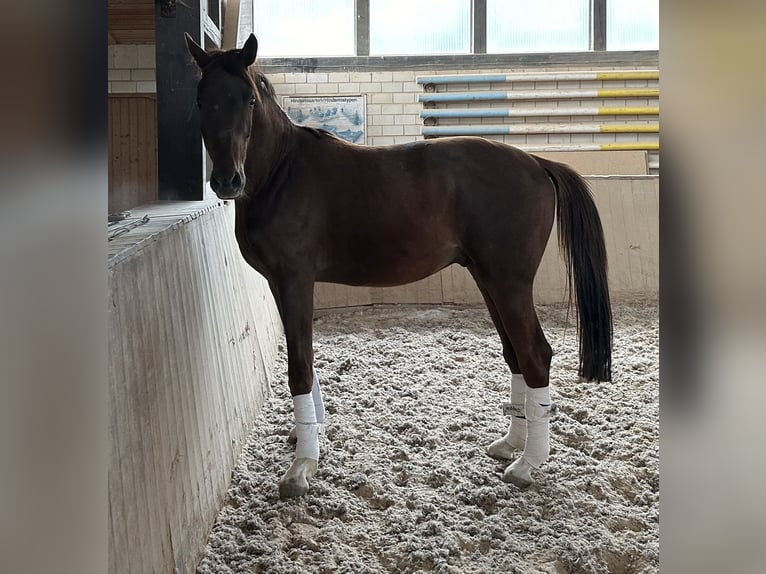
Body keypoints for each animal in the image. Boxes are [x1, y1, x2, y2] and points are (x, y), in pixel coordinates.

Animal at [188, 32, 616, 500]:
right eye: (201, 99)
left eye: (248, 99)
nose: (227, 181)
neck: (281, 172)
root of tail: (537, 163)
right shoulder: (280, 284)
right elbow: (305, 355)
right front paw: (308, 435)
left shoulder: (295, 280)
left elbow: (300, 366)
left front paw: (302, 466)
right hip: (489, 280)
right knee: (516, 353)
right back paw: (511, 444)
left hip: (509, 283)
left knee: (536, 355)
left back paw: (527, 464)